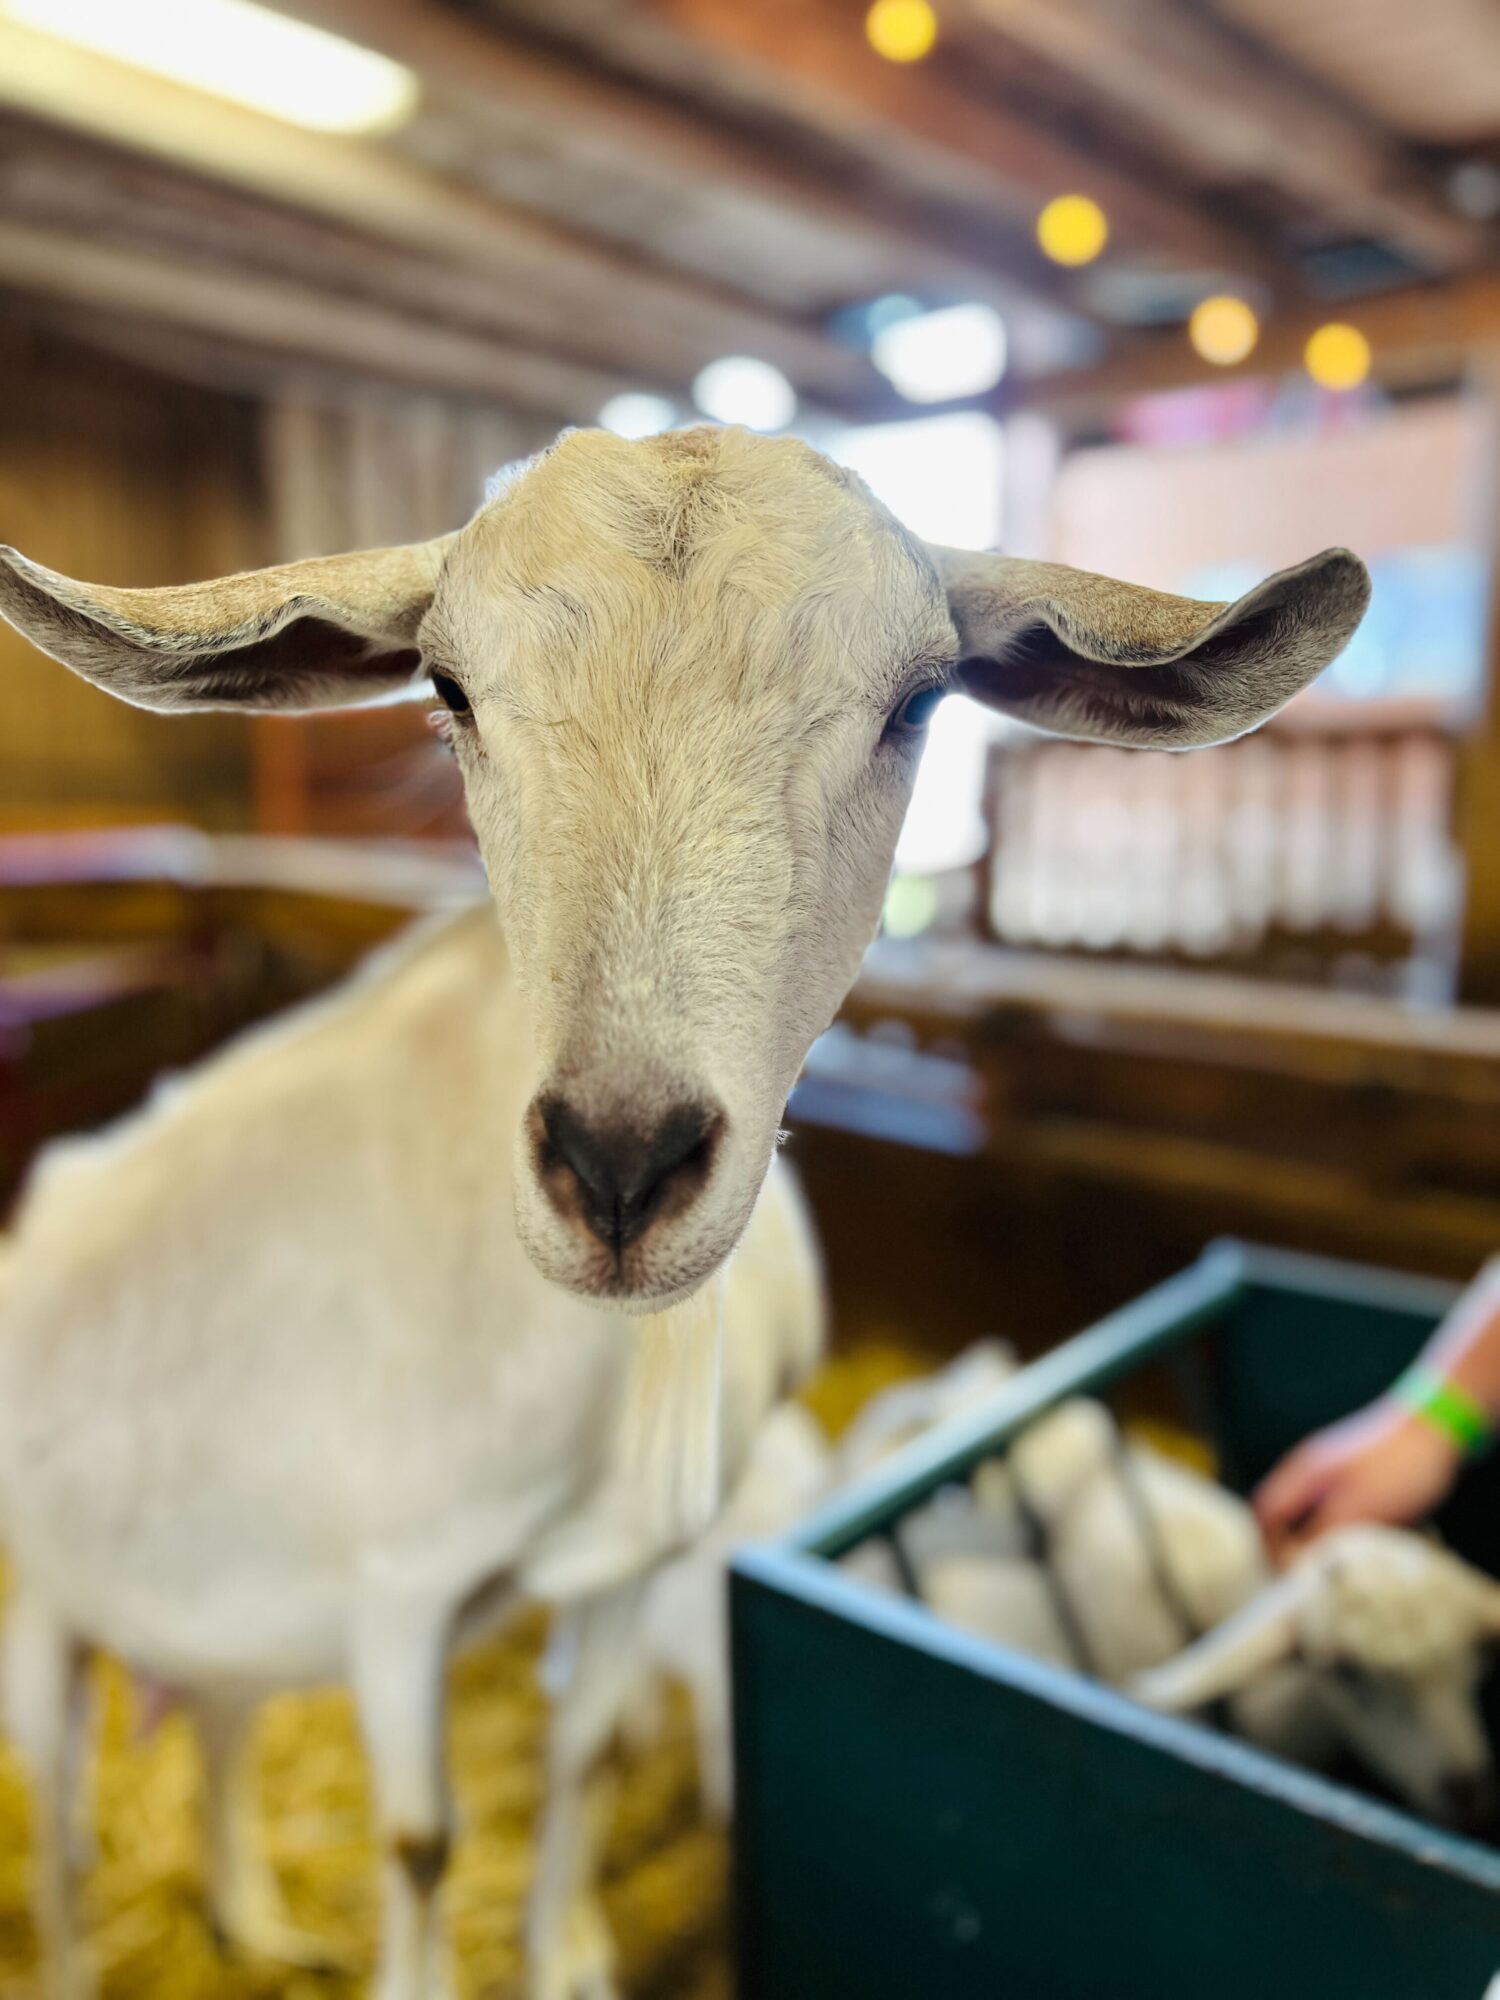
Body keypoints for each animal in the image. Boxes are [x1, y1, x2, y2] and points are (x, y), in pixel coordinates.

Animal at [0, 424, 1369, 1993]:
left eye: (916, 702)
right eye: (448, 689)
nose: (618, 1170)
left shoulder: (626, 1559)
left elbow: (587, 1758)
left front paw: (565, 1957)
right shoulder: (398, 1583)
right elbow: (420, 1843)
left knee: (216, 1717)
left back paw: (252, 1911)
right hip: (45, 1595)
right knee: (58, 1797)